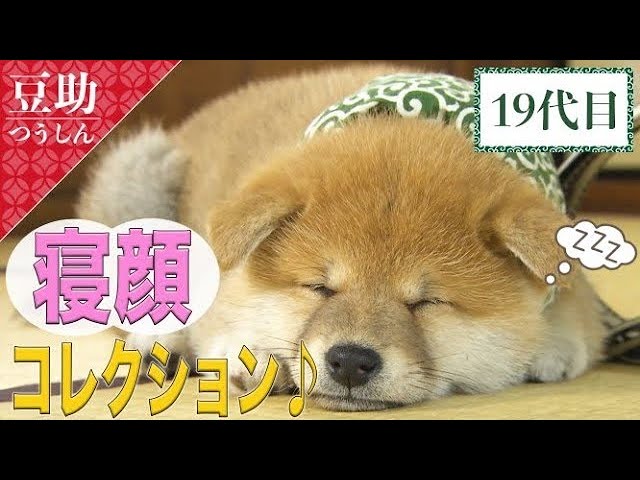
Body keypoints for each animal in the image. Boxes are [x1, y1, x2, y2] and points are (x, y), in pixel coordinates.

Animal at [77, 64, 606, 411]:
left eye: (426, 302)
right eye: (320, 288)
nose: (351, 361)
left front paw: (550, 346)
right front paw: (256, 353)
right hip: (139, 173)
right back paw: (157, 340)